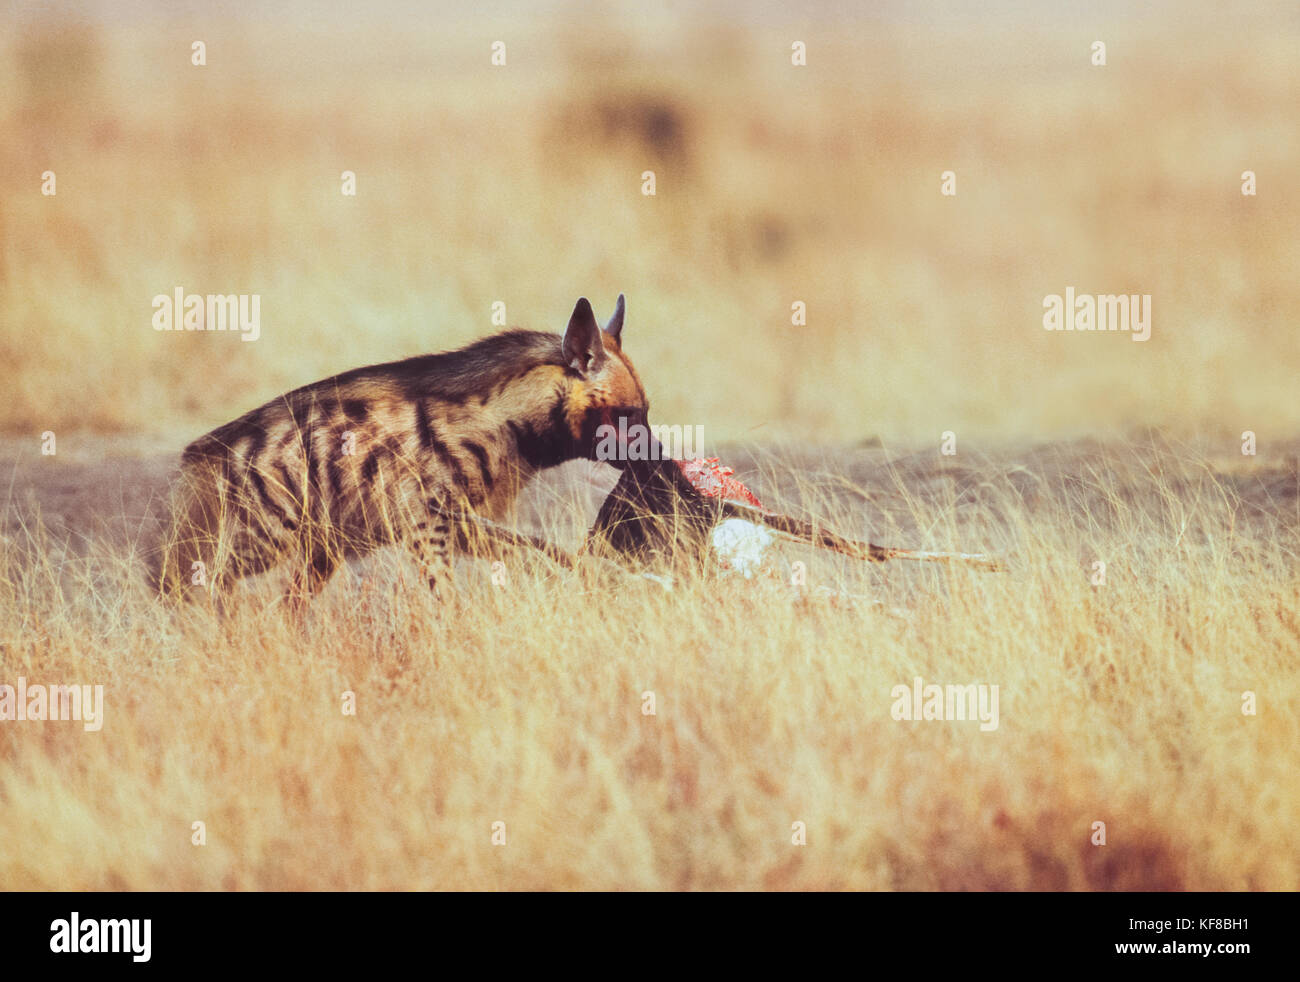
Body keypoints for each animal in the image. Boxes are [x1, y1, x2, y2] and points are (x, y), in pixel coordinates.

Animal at [150, 294, 648, 604]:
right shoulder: (428, 527)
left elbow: (545, 551)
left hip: (319, 554)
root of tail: (203, 451)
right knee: (198, 584)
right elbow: (450, 598)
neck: (507, 423)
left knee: (283, 608)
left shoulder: (461, 524)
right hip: (265, 540)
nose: (657, 452)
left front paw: (601, 578)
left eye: (647, 411)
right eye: (628, 415)